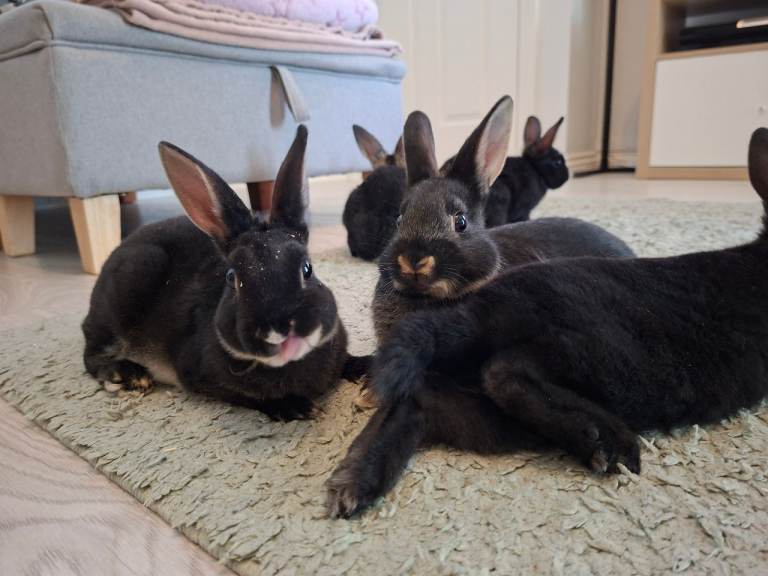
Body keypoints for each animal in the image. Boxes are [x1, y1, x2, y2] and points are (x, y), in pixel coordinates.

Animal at [82, 126, 356, 421]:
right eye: (232, 278)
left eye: (307, 268)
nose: (278, 330)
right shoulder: (199, 377)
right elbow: (249, 397)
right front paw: (297, 406)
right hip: (130, 285)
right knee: (92, 354)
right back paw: (127, 375)